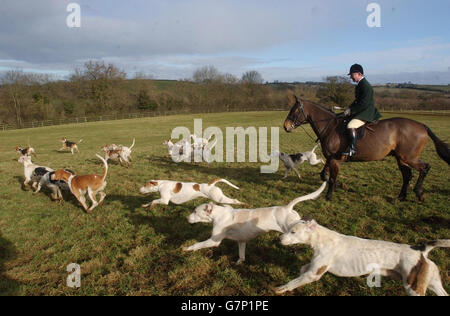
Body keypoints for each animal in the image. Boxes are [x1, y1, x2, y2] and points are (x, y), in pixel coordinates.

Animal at [284, 95, 448, 201]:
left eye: (294, 111)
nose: (285, 126)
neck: (329, 127)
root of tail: (422, 126)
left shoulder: (335, 160)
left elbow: (331, 177)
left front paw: (329, 196)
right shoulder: (331, 158)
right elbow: (324, 174)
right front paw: (334, 185)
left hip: (409, 157)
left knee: (425, 168)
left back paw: (419, 193)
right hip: (401, 158)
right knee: (407, 175)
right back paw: (401, 197)